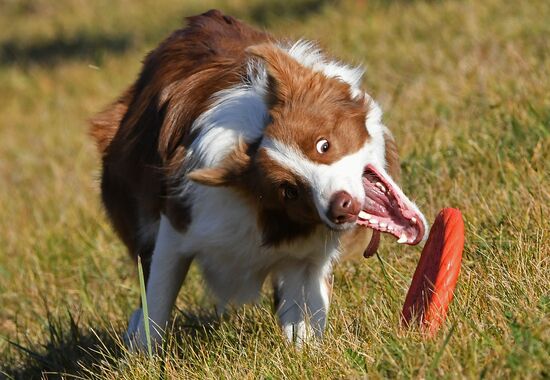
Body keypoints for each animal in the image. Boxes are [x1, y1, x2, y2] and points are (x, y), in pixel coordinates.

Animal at [90, 9, 430, 348]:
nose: (339, 207)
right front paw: (143, 355)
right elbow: (157, 302)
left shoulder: (306, 257)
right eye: (289, 191)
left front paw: (306, 350)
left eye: (323, 145)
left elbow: (304, 314)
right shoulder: (179, 225)